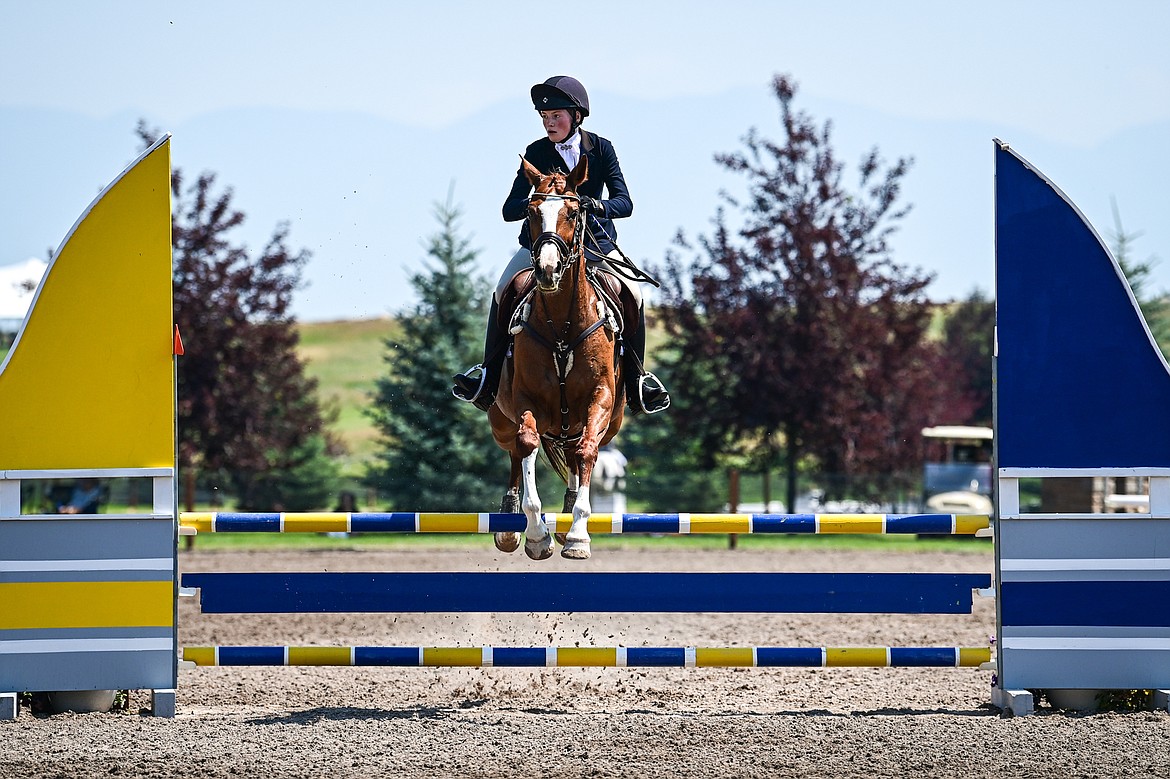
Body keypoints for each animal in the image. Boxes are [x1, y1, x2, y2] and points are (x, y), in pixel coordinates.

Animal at [489, 154, 627, 561]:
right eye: (531, 212)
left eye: (573, 212)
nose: (547, 271)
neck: (562, 324)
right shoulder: (526, 400)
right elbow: (527, 444)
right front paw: (536, 534)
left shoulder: (601, 398)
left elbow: (587, 451)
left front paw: (578, 535)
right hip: (499, 419)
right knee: (515, 452)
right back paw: (509, 525)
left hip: (603, 422)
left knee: (579, 452)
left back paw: (567, 520)